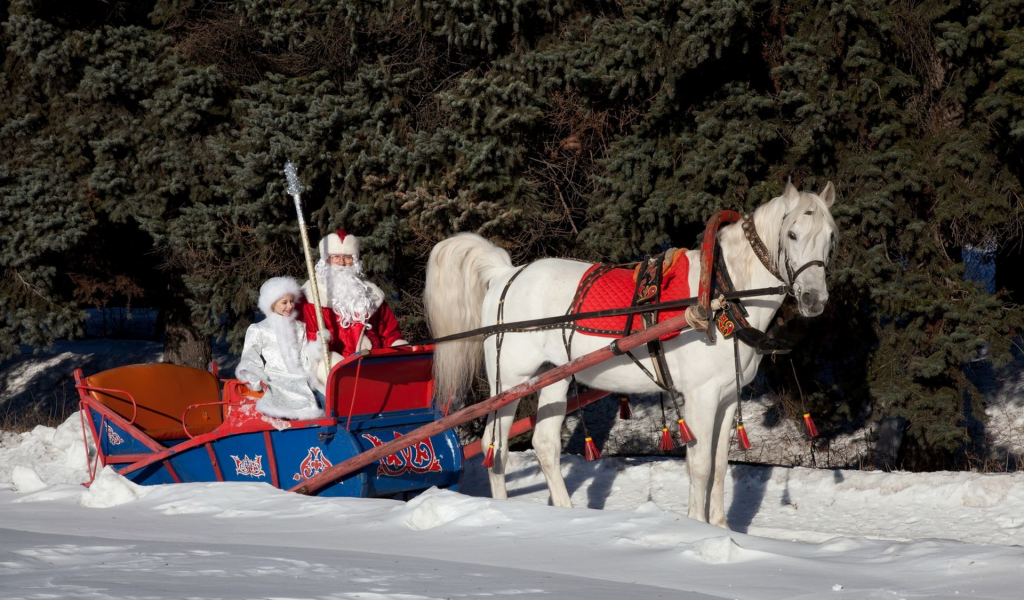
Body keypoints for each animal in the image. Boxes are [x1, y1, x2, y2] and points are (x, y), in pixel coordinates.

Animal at [419, 181, 835, 524]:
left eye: (830, 237)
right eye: (792, 233)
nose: (815, 300)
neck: (721, 293)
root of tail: (507, 274)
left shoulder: (727, 397)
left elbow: (719, 466)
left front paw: (719, 527)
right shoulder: (700, 397)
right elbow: (700, 465)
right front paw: (698, 527)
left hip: (552, 377)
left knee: (544, 444)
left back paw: (567, 516)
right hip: (509, 382)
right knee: (496, 446)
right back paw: (503, 512)